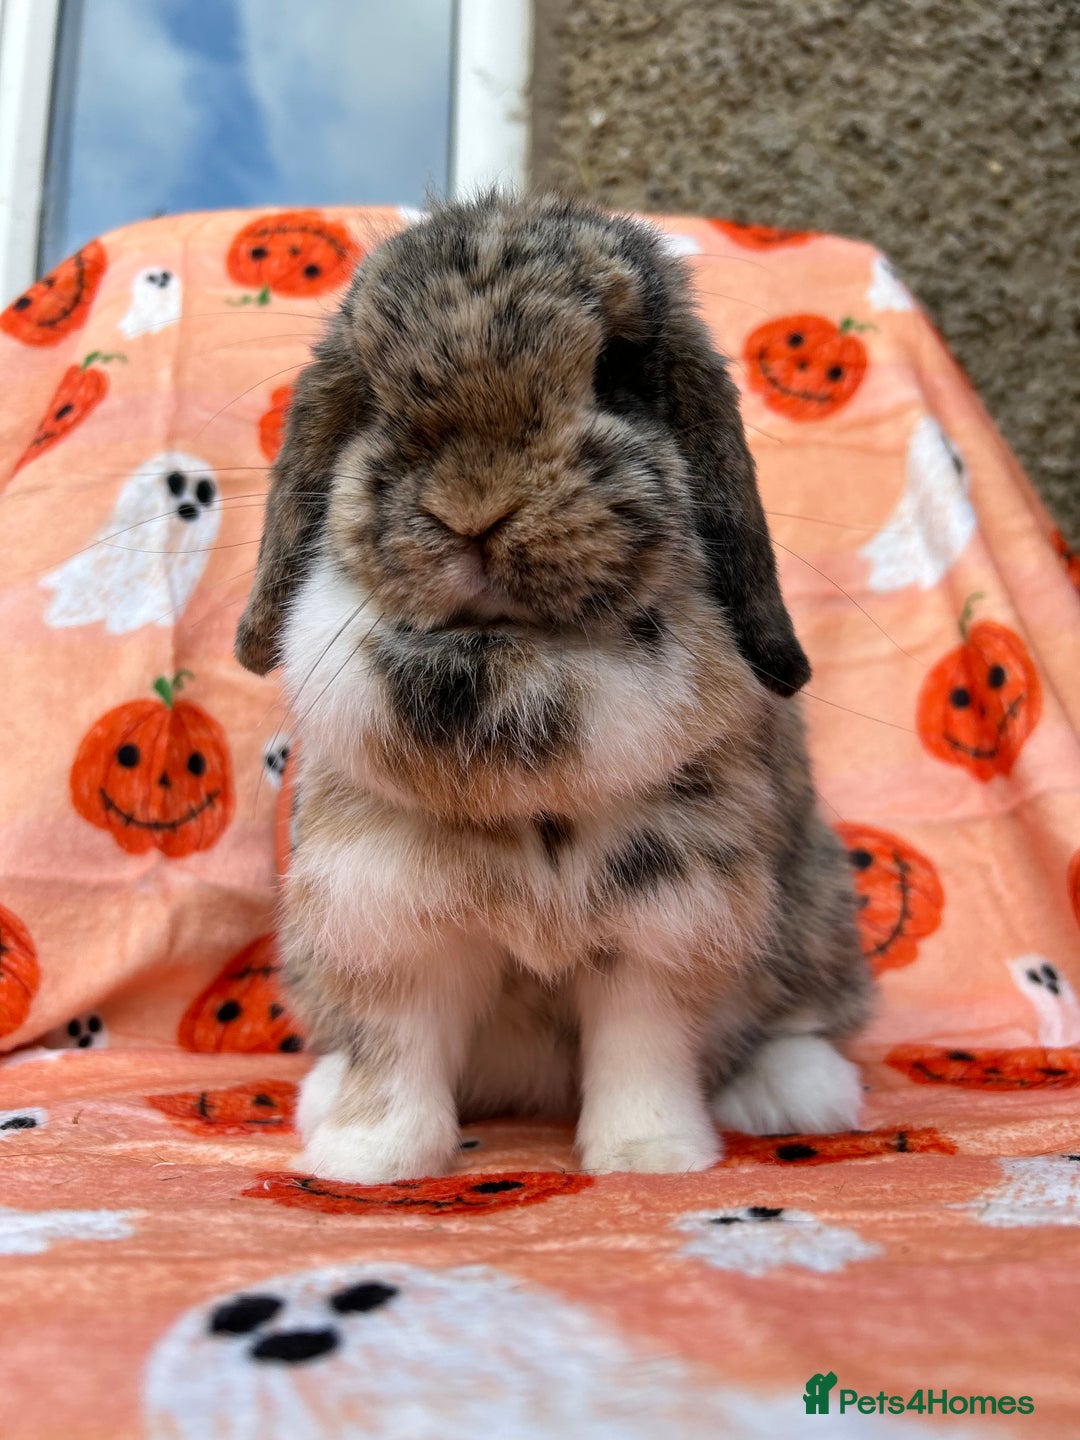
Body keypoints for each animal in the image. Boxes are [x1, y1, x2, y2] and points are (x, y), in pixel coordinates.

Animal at [234, 192, 873, 1182]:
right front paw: (368, 1161)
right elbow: (393, 1051)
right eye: (371, 398)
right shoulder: (381, 911)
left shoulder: (666, 918)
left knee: (801, 1012)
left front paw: (650, 1158)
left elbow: (643, 1049)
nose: (473, 508)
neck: (511, 666)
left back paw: (798, 1093)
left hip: (817, 908)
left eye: (616, 372)